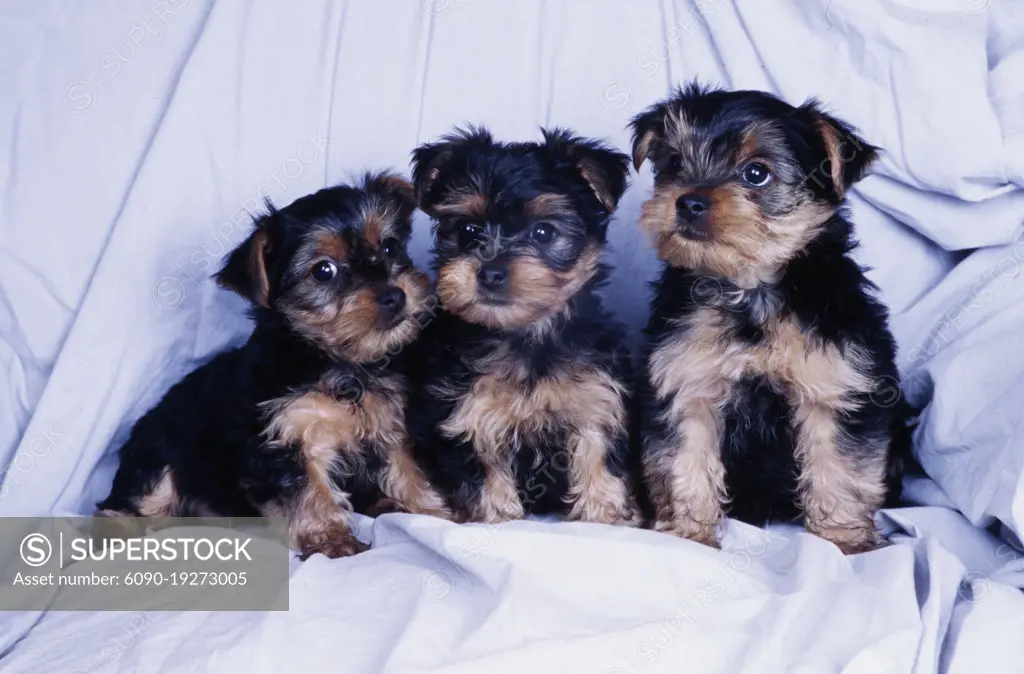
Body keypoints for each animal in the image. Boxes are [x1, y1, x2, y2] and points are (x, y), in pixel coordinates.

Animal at [99, 173, 448, 557]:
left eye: (389, 247)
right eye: (323, 271)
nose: (394, 295)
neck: (336, 360)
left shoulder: (387, 419)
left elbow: (405, 467)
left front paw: (435, 512)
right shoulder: (285, 437)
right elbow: (309, 490)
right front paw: (332, 539)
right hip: (161, 451)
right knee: (137, 500)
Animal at [407, 125, 638, 524]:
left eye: (543, 232)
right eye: (469, 230)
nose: (490, 272)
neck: (527, 334)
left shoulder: (594, 399)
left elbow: (596, 454)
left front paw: (605, 514)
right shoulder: (469, 414)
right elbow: (486, 474)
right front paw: (497, 517)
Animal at [630, 82, 905, 553]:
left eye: (756, 173)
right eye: (674, 163)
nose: (688, 202)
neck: (750, 289)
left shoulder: (834, 385)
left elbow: (840, 466)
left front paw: (843, 540)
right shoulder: (688, 384)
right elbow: (685, 460)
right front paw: (689, 534)